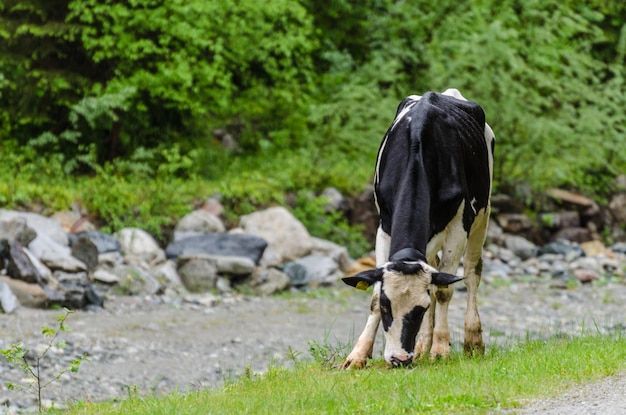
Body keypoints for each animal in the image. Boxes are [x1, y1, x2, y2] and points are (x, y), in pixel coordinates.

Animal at [342, 89, 492, 368]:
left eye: (419, 310)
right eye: (387, 306)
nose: (399, 358)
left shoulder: (459, 226)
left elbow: (443, 291)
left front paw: (441, 349)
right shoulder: (384, 227)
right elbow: (375, 294)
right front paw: (358, 354)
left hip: (483, 214)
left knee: (472, 272)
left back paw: (472, 340)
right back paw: (423, 344)